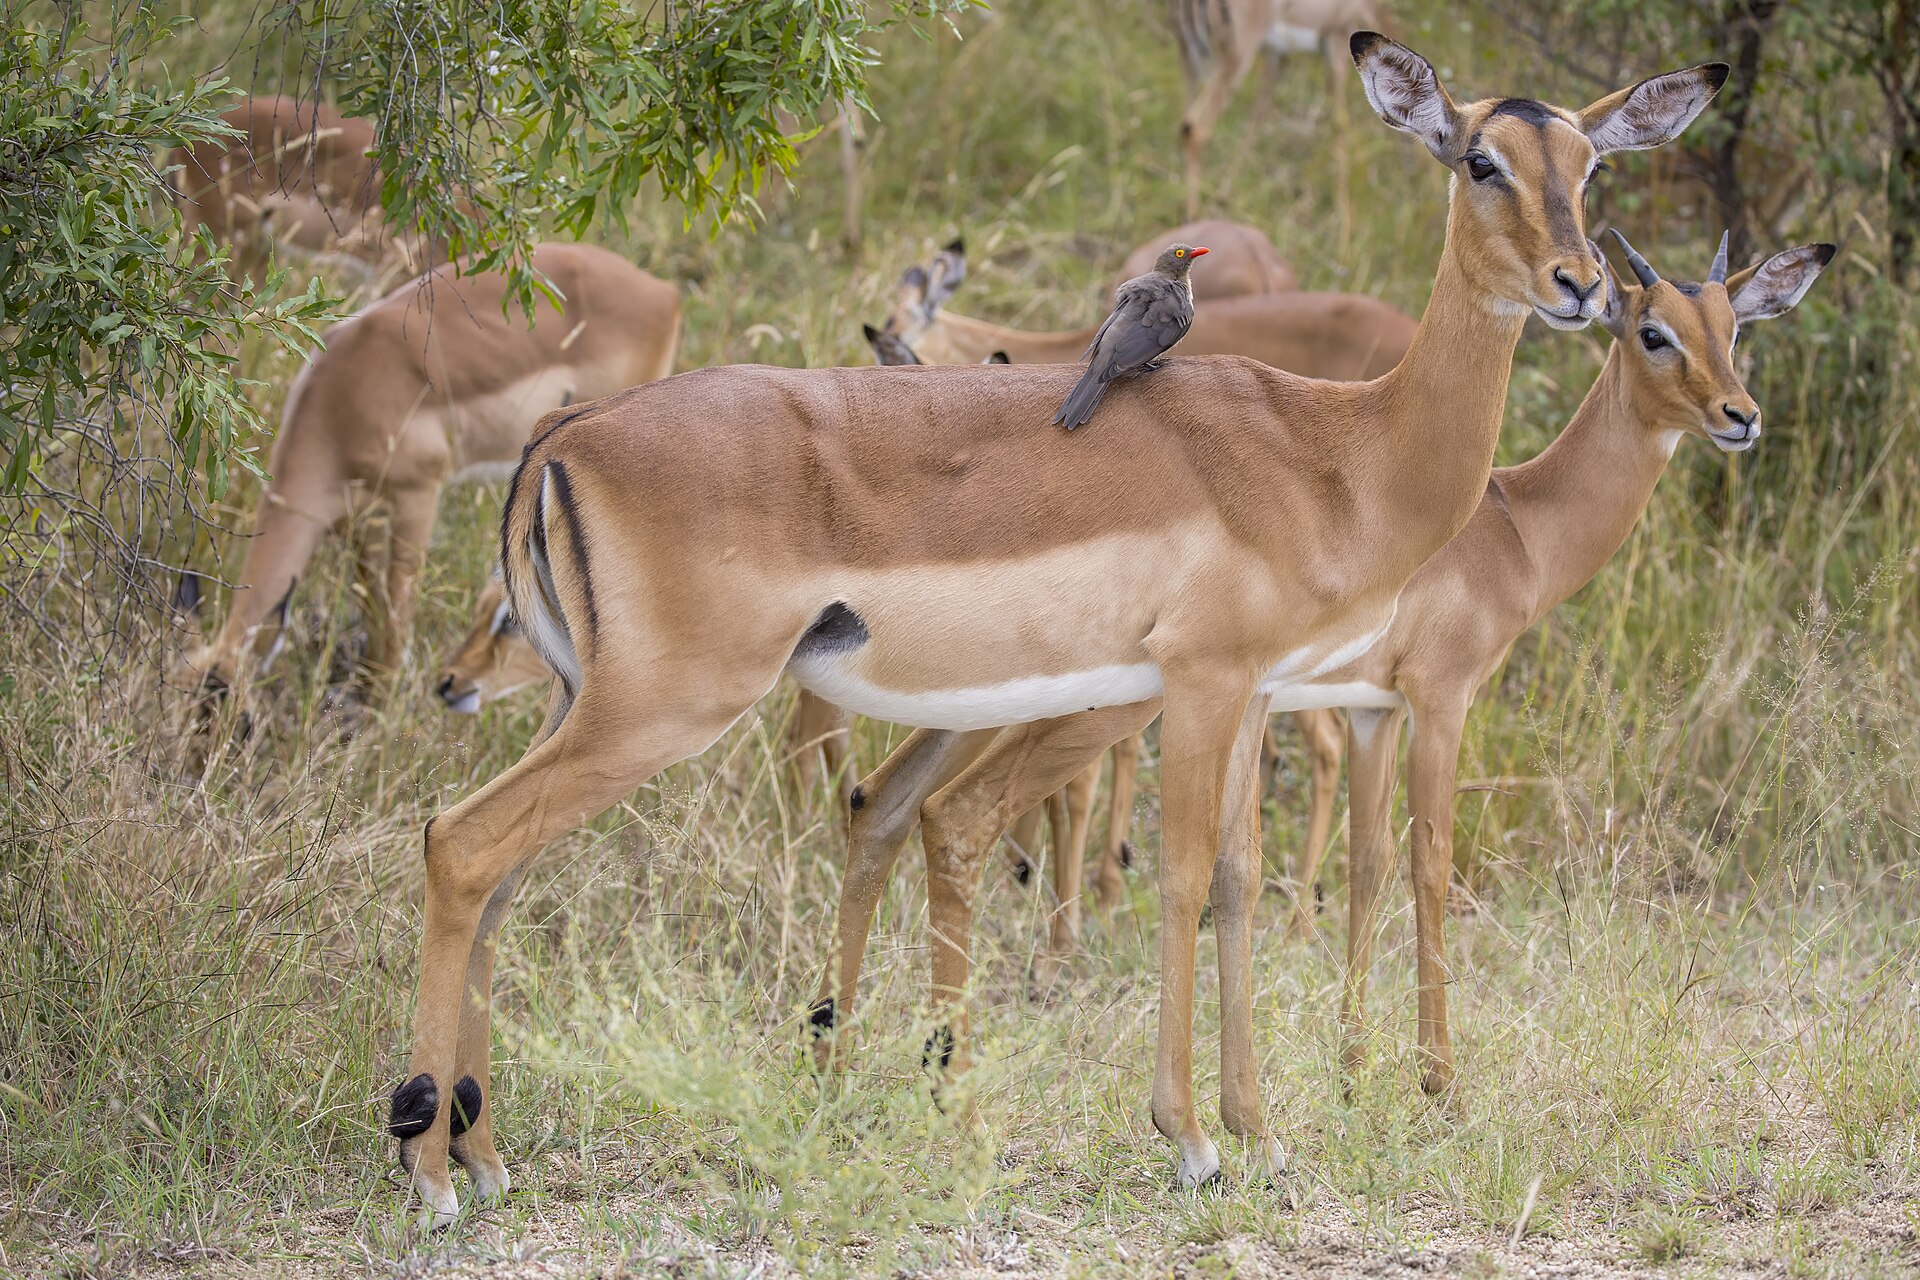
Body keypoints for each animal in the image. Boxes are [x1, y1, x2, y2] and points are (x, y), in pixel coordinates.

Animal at [175, 242, 680, 707]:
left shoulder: (417, 496)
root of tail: (664, 292)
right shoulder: (358, 518)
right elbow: (373, 603)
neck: (339, 403)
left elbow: (399, 603)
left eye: (220, 701)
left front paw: (382, 705)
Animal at [1172, 0, 1388, 219]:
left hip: (1189, 58)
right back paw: (1194, 213)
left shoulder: (1277, 56)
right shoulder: (1337, 42)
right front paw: (1343, 212)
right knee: (1195, 127)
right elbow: (1340, 124)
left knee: (1184, 123)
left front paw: (1223, 195)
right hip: (1235, 57)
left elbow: (1259, 114)